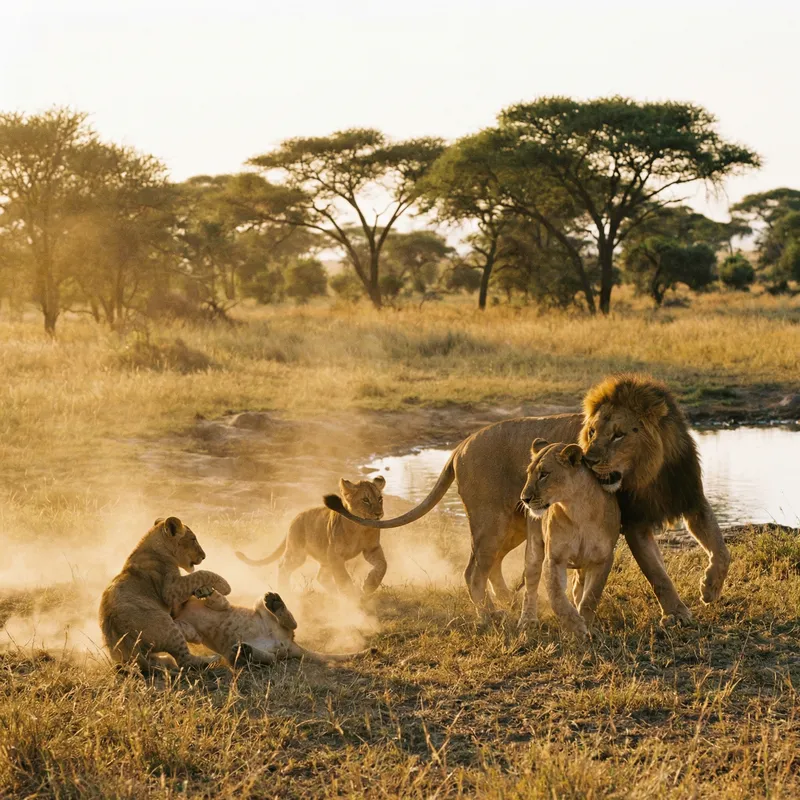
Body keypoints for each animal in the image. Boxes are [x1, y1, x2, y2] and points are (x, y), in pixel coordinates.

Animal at [99, 516, 232, 673]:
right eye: (193, 539)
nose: (204, 556)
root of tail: (127, 643)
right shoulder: (171, 591)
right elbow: (200, 574)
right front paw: (224, 585)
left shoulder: (175, 600)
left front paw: (206, 592)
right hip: (167, 627)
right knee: (185, 661)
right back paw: (211, 659)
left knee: (163, 660)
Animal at [176, 590, 375, 665]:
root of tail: (289, 644)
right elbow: (186, 629)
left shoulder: (222, 605)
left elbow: (218, 601)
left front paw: (205, 592)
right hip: (249, 653)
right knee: (268, 659)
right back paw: (244, 650)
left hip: (259, 606)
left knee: (291, 623)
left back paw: (275, 602)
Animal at [236, 477, 387, 598]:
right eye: (365, 500)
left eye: (380, 499)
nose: (379, 514)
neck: (360, 528)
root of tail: (295, 517)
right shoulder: (335, 555)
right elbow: (343, 578)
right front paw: (352, 599)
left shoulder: (372, 549)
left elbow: (382, 566)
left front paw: (369, 586)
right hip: (298, 553)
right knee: (283, 566)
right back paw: (285, 591)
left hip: (324, 557)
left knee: (321, 577)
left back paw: (334, 595)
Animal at [517, 439, 621, 639]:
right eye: (529, 473)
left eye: (544, 474)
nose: (524, 498)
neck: (577, 509)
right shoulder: (554, 559)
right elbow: (557, 596)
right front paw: (575, 627)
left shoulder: (603, 559)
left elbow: (591, 597)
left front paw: (587, 625)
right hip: (534, 550)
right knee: (530, 589)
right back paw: (527, 620)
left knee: (578, 585)